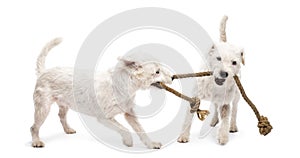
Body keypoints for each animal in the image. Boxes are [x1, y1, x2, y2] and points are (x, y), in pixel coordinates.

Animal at [30, 37, 172, 149]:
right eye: (157, 72)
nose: (173, 77)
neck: (124, 85)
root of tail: (43, 72)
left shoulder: (129, 113)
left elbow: (141, 129)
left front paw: (151, 144)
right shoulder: (104, 117)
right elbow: (124, 128)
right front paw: (128, 141)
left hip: (64, 103)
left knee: (61, 116)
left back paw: (68, 129)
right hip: (43, 107)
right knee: (34, 127)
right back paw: (36, 142)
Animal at [177, 15, 245, 144]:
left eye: (234, 62)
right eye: (218, 58)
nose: (224, 73)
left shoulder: (225, 102)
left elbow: (225, 120)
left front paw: (223, 137)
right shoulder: (195, 98)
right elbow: (188, 119)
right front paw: (183, 136)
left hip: (237, 96)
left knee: (234, 110)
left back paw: (233, 126)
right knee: (215, 107)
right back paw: (214, 121)